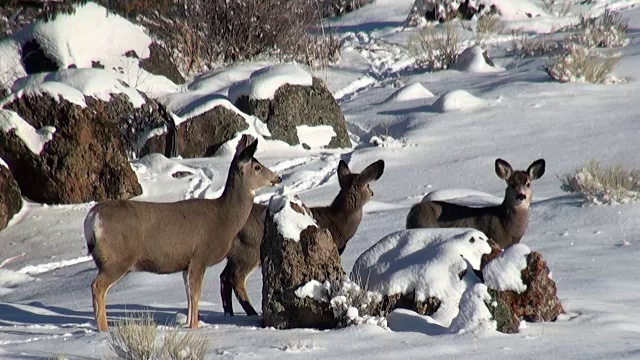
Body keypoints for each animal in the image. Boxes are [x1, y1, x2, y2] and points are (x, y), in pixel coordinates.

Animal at [84, 136, 280, 332]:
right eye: (257, 167)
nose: (277, 178)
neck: (224, 218)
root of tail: (92, 219)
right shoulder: (200, 256)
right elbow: (195, 293)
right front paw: (195, 326)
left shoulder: (186, 264)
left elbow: (188, 294)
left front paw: (188, 324)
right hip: (116, 260)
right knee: (97, 286)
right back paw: (103, 330)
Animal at [219, 160, 384, 316]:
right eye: (368, 185)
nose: (373, 193)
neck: (338, 222)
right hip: (249, 250)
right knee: (236, 279)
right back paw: (251, 312)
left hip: (236, 254)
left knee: (224, 277)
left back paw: (229, 314)